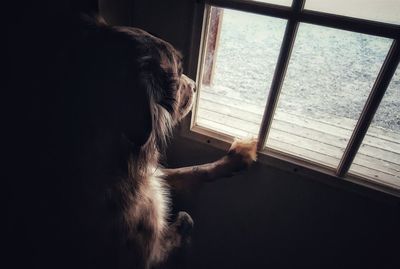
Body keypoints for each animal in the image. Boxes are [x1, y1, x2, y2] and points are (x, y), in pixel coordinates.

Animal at [7, 16, 258, 268]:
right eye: (177, 73)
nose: (196, 85)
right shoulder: (146, 252)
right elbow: (184, 222)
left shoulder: (151, 177)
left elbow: (190, 170)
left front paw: (237, 157)